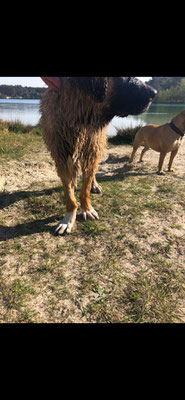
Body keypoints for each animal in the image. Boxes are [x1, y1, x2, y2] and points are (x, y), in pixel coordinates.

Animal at [40, 77, 156, 234]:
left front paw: (87, 208)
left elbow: (85, 187)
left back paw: (93, 185)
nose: (154, 92)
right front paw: (68, 218)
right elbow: (69, 193)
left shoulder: (92, 148)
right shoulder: (61, 154)